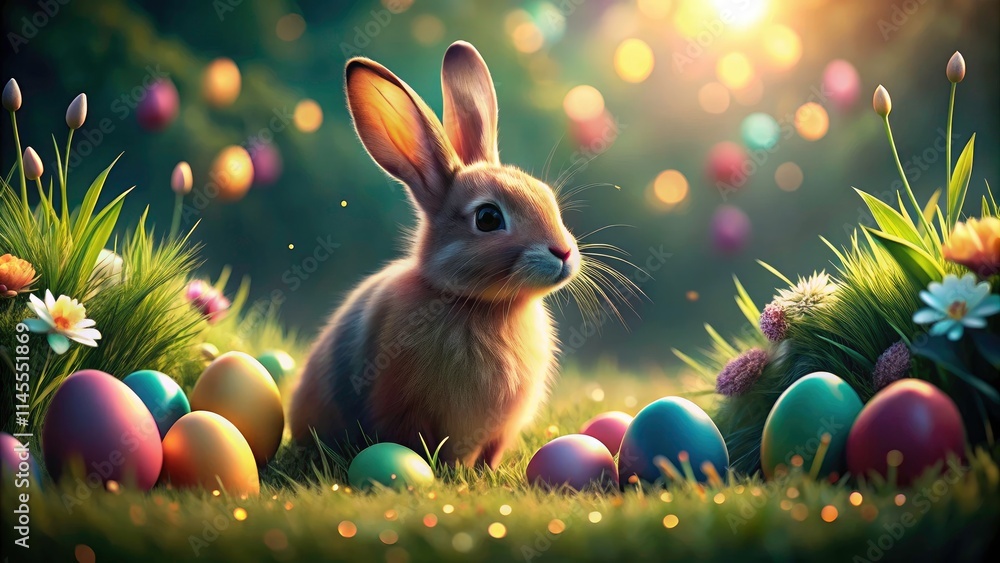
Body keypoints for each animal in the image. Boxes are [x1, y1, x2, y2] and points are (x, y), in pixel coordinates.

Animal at [290, 41, 581, 468]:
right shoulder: (402, 410)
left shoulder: (499, 430)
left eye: (547, 196)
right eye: (488, 218)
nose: (563, 251)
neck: (479, 305)